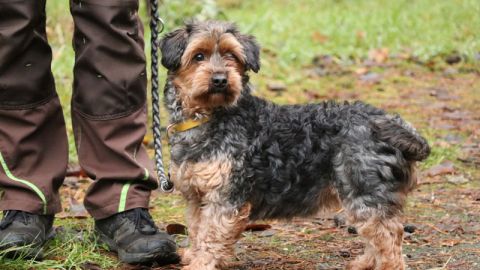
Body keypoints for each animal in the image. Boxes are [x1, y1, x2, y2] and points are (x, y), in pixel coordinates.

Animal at [159, 20, 430, 268]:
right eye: (198, 56)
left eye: (231, 55)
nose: (219, 80)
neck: (209, 116)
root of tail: (387, 121)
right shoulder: (197, 198)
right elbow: (197, 231)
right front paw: (194, 256)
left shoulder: (225, 198)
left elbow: (211, 237)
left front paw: (200, 263)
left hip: (365, 191)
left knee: (390, 240)